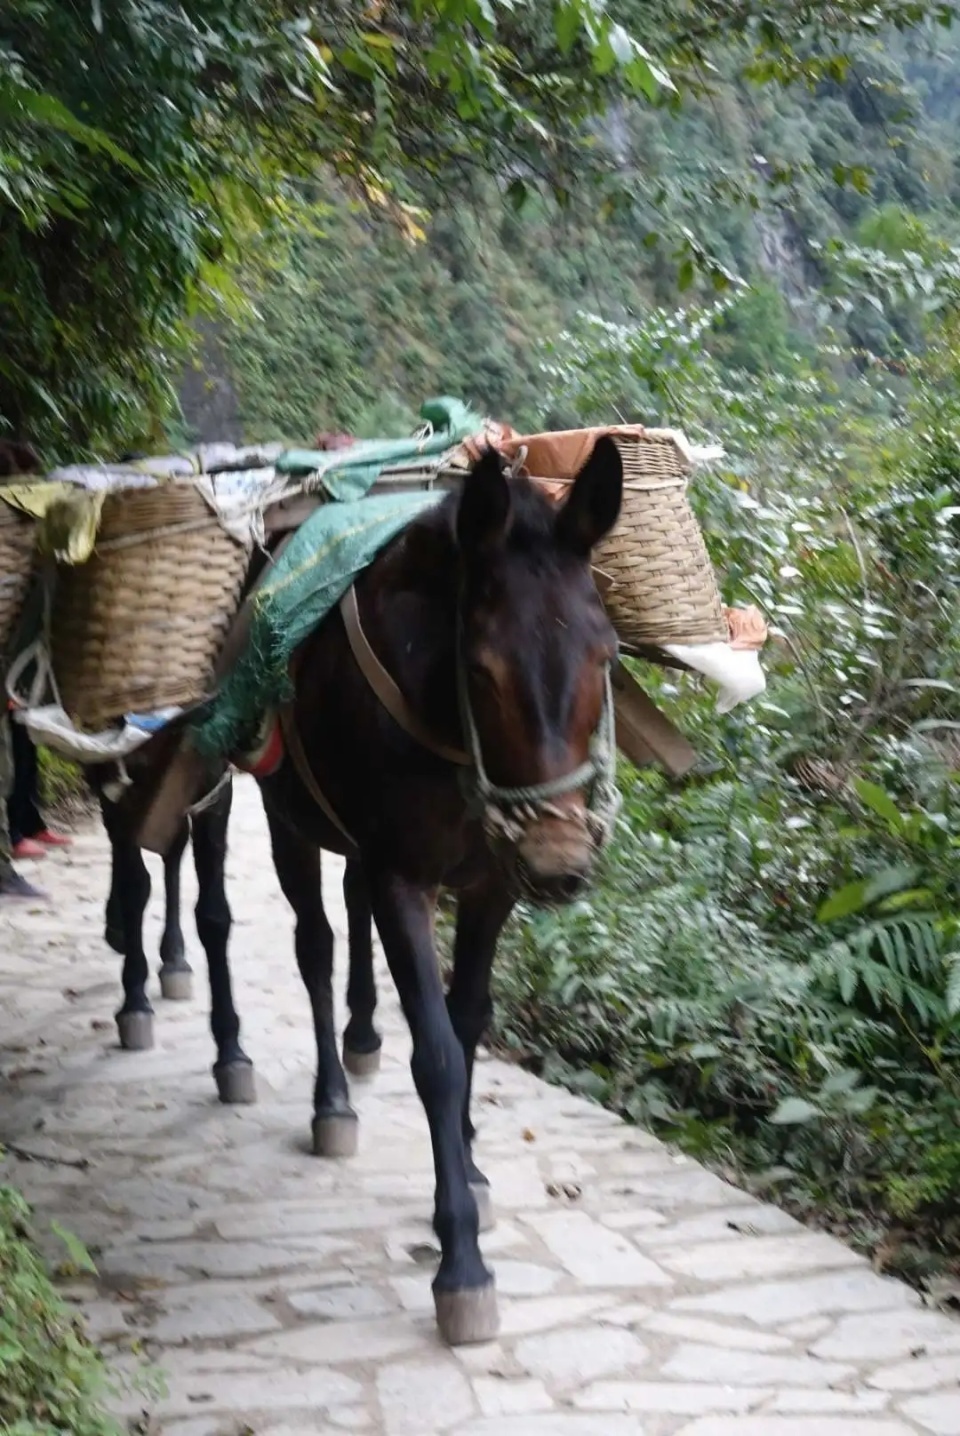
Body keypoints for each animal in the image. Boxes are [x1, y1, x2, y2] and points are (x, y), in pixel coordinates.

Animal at [255, 438, 623, 1344]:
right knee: (308, 943)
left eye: (607, 656)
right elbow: (440, 1056)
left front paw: (473, 1168)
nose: (559, 858)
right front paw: (460, 1260)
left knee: (347, 912)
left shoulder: (492, 883)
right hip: (279, 819)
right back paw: (325, 1099)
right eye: (483, 671)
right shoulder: (406, 878)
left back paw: (361, 1037)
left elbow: (470, 1021)